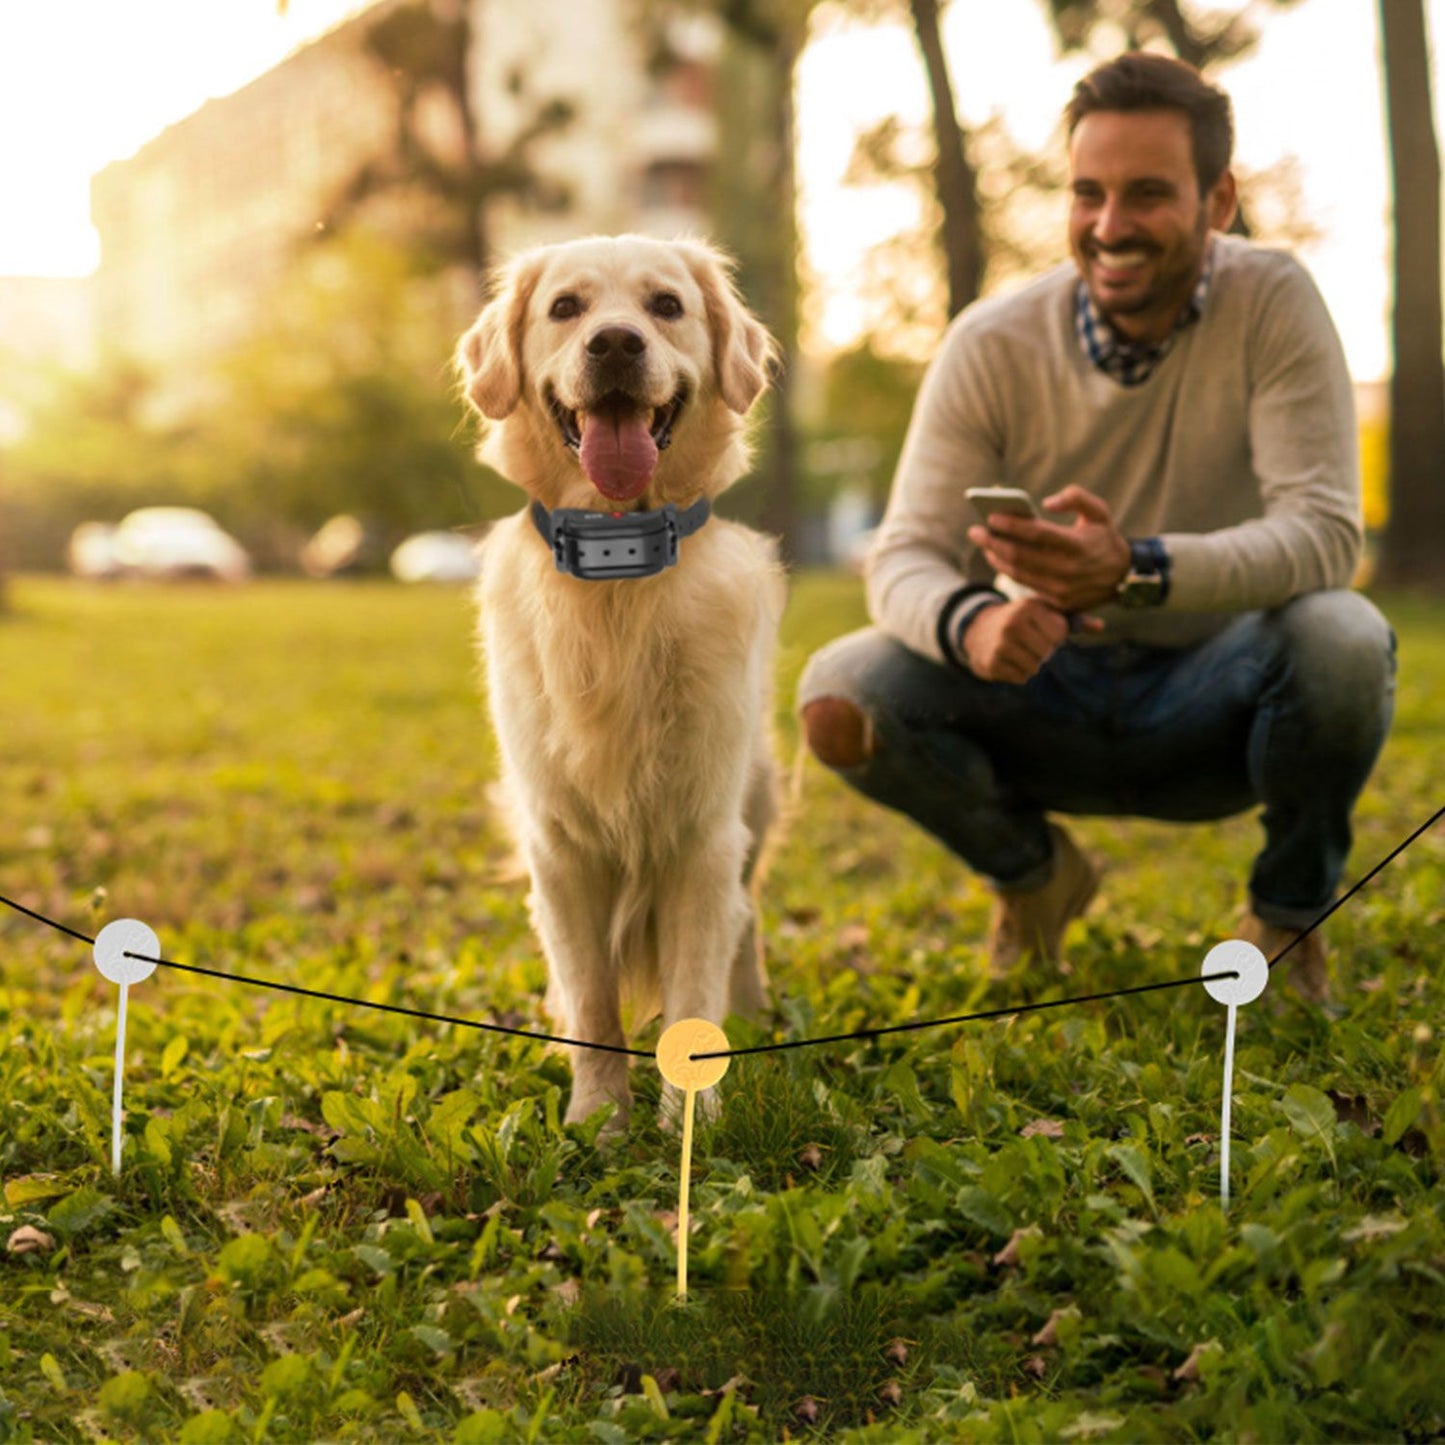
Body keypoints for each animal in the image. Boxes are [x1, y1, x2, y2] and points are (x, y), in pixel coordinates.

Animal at [456, 234, 786, 1127]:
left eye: (665, 306)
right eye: (565, 308)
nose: (613, 344)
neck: (616, 573)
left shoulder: (703, 836)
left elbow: (693, 994)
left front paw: (687, 1124)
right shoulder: (559, 846)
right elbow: (593, 999)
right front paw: (599, 1119)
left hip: (755, 801)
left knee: (745, 921)